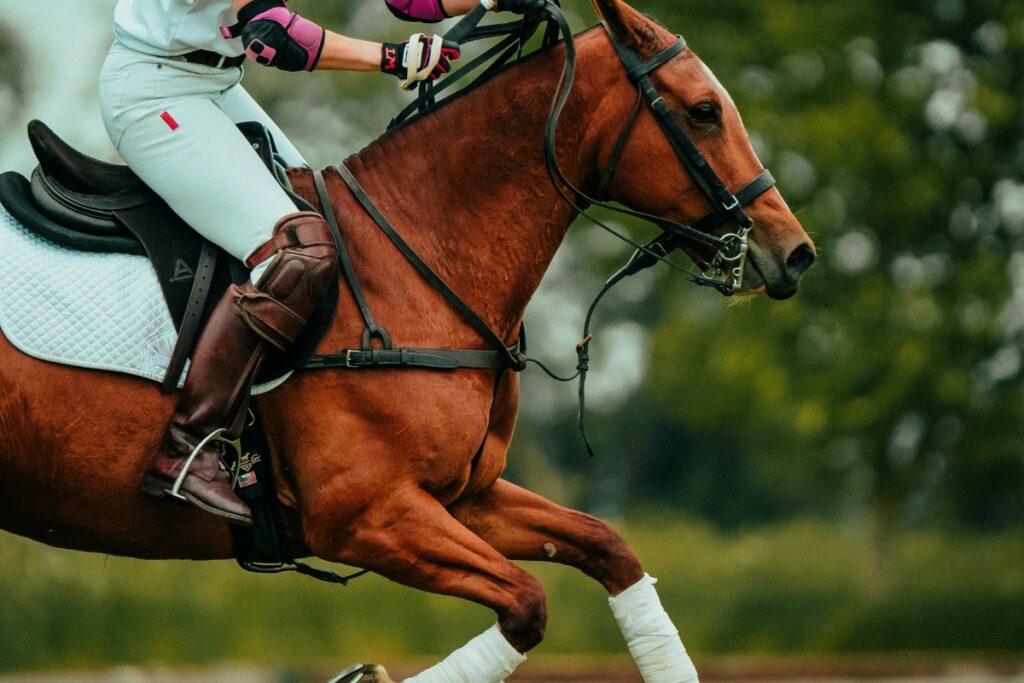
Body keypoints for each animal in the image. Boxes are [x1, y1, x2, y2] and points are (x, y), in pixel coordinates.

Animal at [0, 0, 814, 679]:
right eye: (705, 112)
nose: (795, 252)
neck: (420, 254)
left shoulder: (462, 496)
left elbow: (609, 548)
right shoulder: (367, 516)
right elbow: (527, 604)